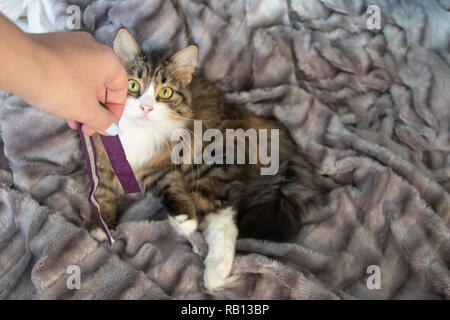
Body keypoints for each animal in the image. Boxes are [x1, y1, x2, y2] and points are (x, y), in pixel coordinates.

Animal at [89, 28, 326, 292]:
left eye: (165, 92)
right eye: (132, 85)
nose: (146, 108)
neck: (135, 134)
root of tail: (247, 116)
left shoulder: (161, 167)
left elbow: (171, 189)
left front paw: (184, 219)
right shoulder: (99, 162)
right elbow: (101, 196)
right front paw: (101, 226)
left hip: (206, 163)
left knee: (223, 218)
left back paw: (214, 274)